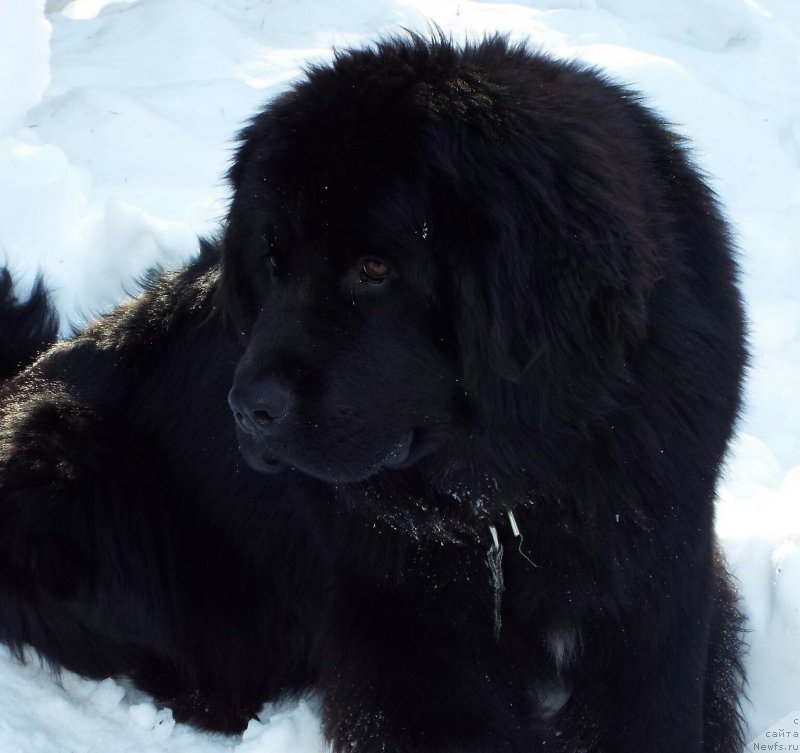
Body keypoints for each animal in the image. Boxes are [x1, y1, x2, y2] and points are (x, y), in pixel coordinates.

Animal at [1, 35, 752, 752]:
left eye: (374, 268)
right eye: (272, 262)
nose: (248, 409)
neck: (512, 497)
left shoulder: (659, 583)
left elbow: (659, 713)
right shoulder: (401, 634)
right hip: (67, 472)